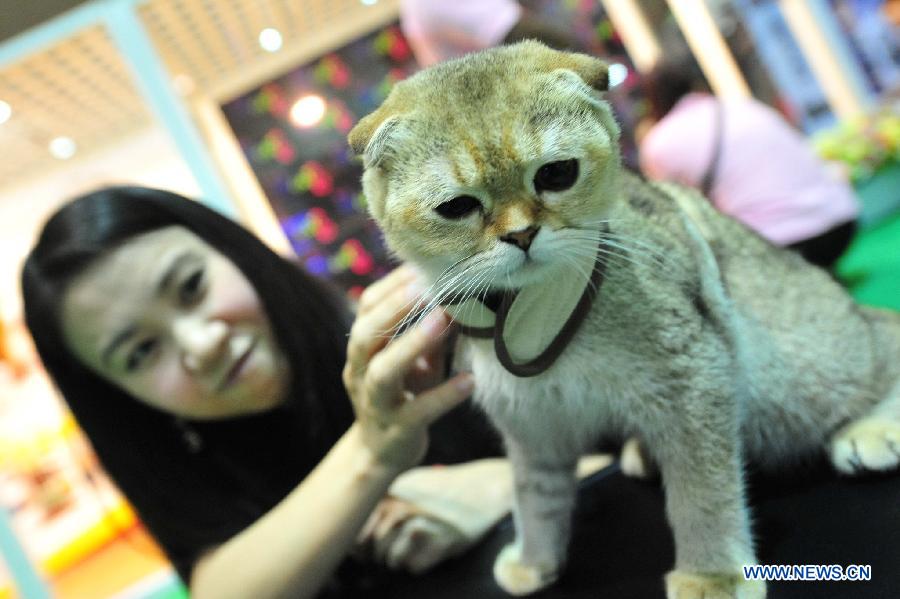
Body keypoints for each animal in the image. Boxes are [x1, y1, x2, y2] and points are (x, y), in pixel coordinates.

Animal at [348, 41, 900, 598]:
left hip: (803, 365)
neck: (523, 311)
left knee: (882, 333)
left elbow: (702, 490)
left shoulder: (694, 379)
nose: (522, 235)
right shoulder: (532, 424)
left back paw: (872, 429)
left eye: (556, 175)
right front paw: (534, 561)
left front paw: (713, 573)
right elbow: (534, 496)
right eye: (457, 207)